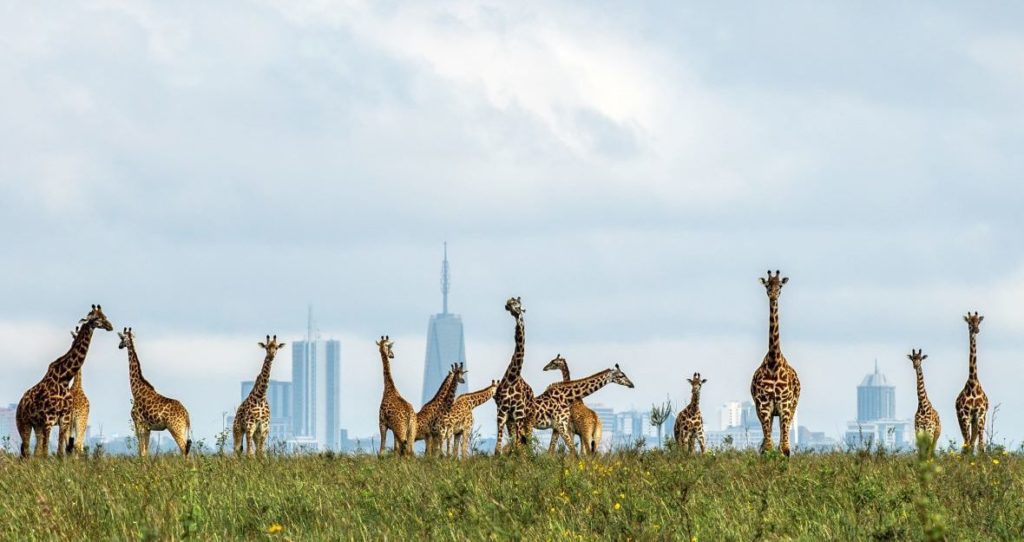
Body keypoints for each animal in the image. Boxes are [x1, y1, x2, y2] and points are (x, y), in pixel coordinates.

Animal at [16, 303, 113, 456]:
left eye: (105, 316)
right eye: (96, 318)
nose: (110, 326)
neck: (64, 379)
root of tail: (20, 403)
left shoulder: (64, 420)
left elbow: (60, 452)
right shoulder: (49, 420)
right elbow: (46, 452)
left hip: (37, 425)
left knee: (35, 452)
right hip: (23, 423)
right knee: (26, 451)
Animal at [495, 295, 536, 452]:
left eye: (518, 304)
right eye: (510, 302)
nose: (507, 304)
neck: (513, 377)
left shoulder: (519, 413)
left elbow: (519, 446)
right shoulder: (502, 412)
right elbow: (498, 449)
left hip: (528, 418)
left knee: (527, 442)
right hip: (511, 420)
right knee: (518, 441)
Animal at [749, 268, 802, 454]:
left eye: (780, 286)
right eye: (767, 285)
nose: (773, 295)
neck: (773, 362)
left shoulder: (785, 405)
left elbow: (785, 449)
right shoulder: (763, 406)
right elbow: (767, 448)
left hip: (791, 408)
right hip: (766, 412)